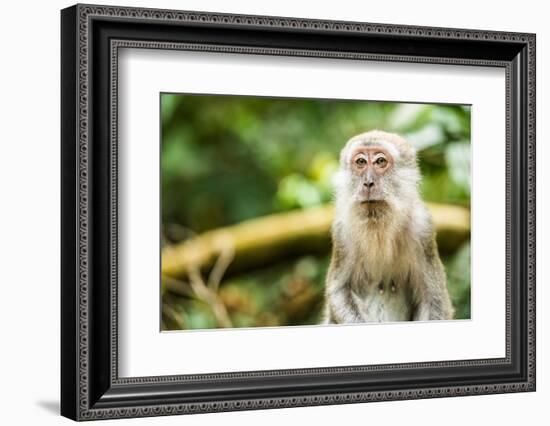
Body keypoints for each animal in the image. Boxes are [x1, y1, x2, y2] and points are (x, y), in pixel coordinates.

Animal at [326, 130, 454, 322]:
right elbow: (339, 290)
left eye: (380, 161)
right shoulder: (342, 232)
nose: (368, 182)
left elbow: (434, 300)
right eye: (361, 162)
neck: (379, 227)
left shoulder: (423, 229)